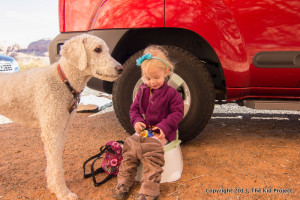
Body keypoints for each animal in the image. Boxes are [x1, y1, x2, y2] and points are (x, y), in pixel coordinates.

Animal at [0, 33, 123, 199]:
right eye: (97, 49)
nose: (121, 69)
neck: (64, 80)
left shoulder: (61, 129)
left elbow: (54, 162)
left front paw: (53, 186)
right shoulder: (51, 132)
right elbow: (57, 165)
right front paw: (63, 193)